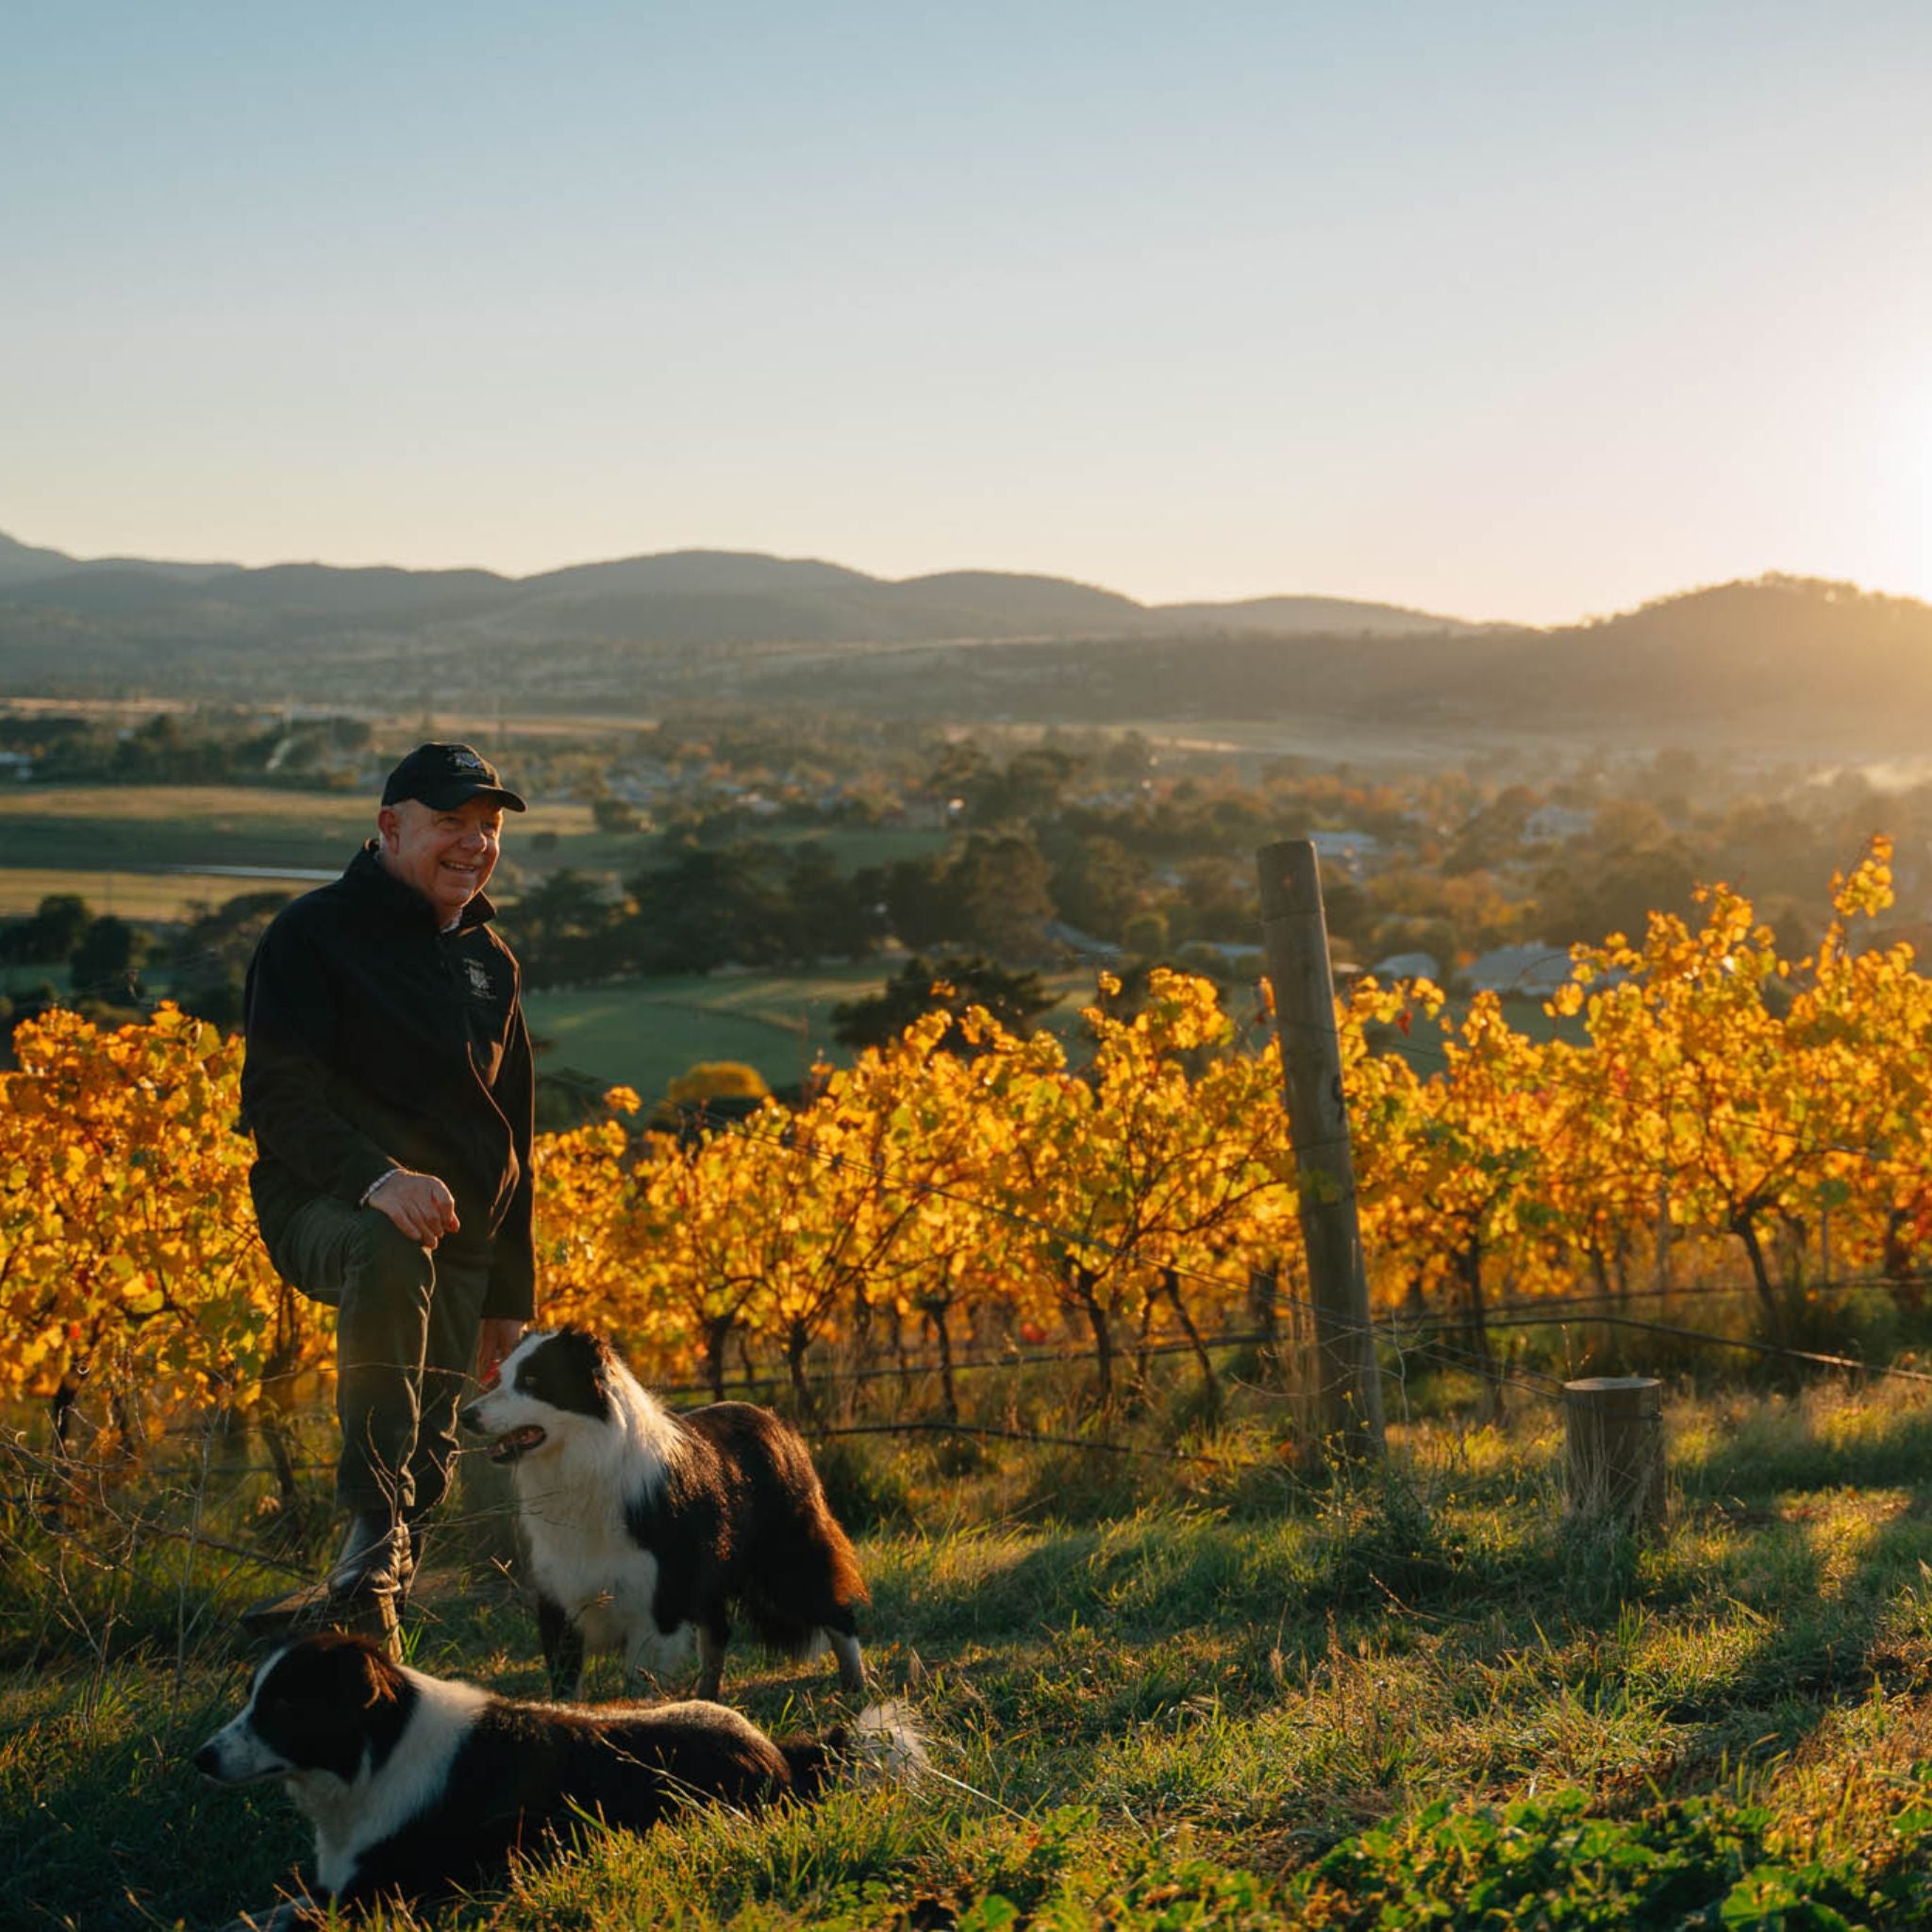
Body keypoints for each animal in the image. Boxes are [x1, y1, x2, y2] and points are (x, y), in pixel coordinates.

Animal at [199, 1638, 923, 1924]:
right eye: (253, 1697)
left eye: (282, 1706)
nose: (201, 1758)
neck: (382, 1746)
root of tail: (776, 1750)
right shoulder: (337, 1888)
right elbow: (254, 1913)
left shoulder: (380, 1895)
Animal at [459, 1337, 869, 1700]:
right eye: (501, 1377)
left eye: (531, 1380)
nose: (465, 1416)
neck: (587, 1464)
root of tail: (775, 1421)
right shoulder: (559, 1598)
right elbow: (564, 1690)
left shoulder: (656, 1606)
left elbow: (640, 1688)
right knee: (718, 1634)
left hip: (787, 1558)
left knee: (837, 1613)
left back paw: (856, 1687)